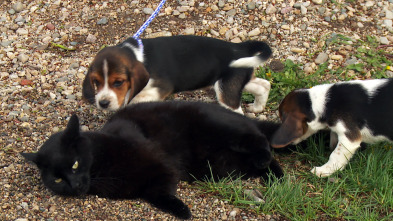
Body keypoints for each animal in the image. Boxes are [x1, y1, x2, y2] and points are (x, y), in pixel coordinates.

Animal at [21, 101, 284, 218]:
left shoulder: (162, 165)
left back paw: (273, 171)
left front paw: (182, 211)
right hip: (222, 167)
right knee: (262, 160)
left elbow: (161, 188)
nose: (74, 185)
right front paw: (180, 209)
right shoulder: (148, 182)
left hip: (223, 129)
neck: (102, 171)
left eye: (75, 164)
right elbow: (155, 193)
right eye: (56, 180)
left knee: (260, 140)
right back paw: (274, 180)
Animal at [81, 35, 272, 114]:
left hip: (226, 90)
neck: (136, 54)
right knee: (264, 85)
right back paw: (257, 107)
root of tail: (239, 48)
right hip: (237, 78)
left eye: (118, 82)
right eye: (96, 82)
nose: (103, 103)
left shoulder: (159, 89)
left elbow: (135, 99)